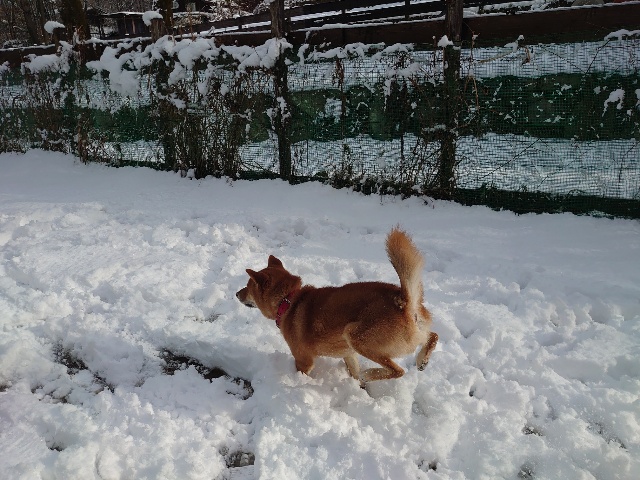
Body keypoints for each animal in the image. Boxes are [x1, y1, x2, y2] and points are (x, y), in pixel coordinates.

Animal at [236, 227, 438, 384]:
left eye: (248, 286)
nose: (236, 294)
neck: (288, 301)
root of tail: (404, 301)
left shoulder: (303, 361)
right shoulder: (349, 354)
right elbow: (353, 371)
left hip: (356, 335)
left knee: (398, 370)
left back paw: (369, 374)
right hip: (405, 335)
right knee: (433, 336)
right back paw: (422, 360)